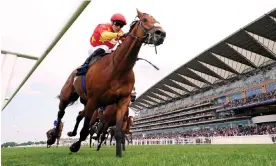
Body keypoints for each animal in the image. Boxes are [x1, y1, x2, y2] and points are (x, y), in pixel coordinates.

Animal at [47, 9, 166, 157]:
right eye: (144, 20)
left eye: (156, 19)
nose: (161, 34)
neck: (117, 68)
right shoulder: (95, 101)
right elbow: (86, 130)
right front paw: (75, 146)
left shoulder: (122, 102)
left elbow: (118, 132)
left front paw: (119, 155)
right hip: (68, 95)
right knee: (61, 113)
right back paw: (52, 138)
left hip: (86, 101)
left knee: (80, 114)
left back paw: (71, 133)